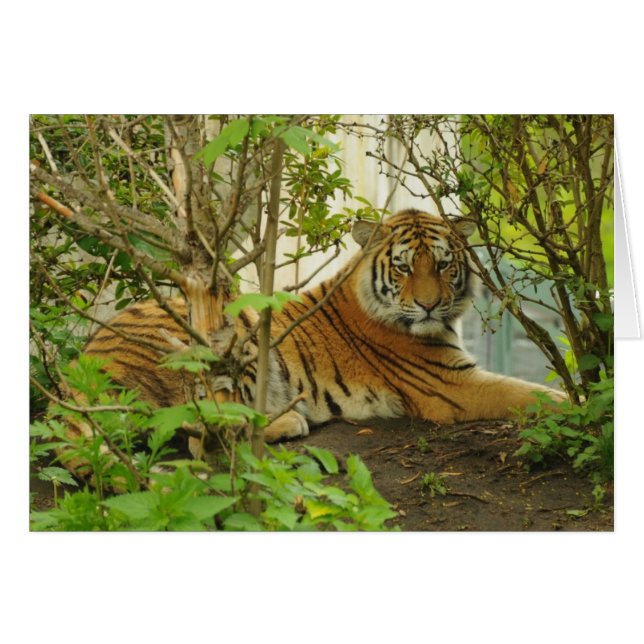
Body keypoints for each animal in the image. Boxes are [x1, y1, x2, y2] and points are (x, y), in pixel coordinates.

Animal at [79, 209, 564, 444]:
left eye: (444, 265)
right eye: (404, 267)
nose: (429, 306)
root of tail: (82, 366)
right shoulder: (453, 386)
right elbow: (535, 396)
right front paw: (578, 405)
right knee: (201, 422)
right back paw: (290, 420)